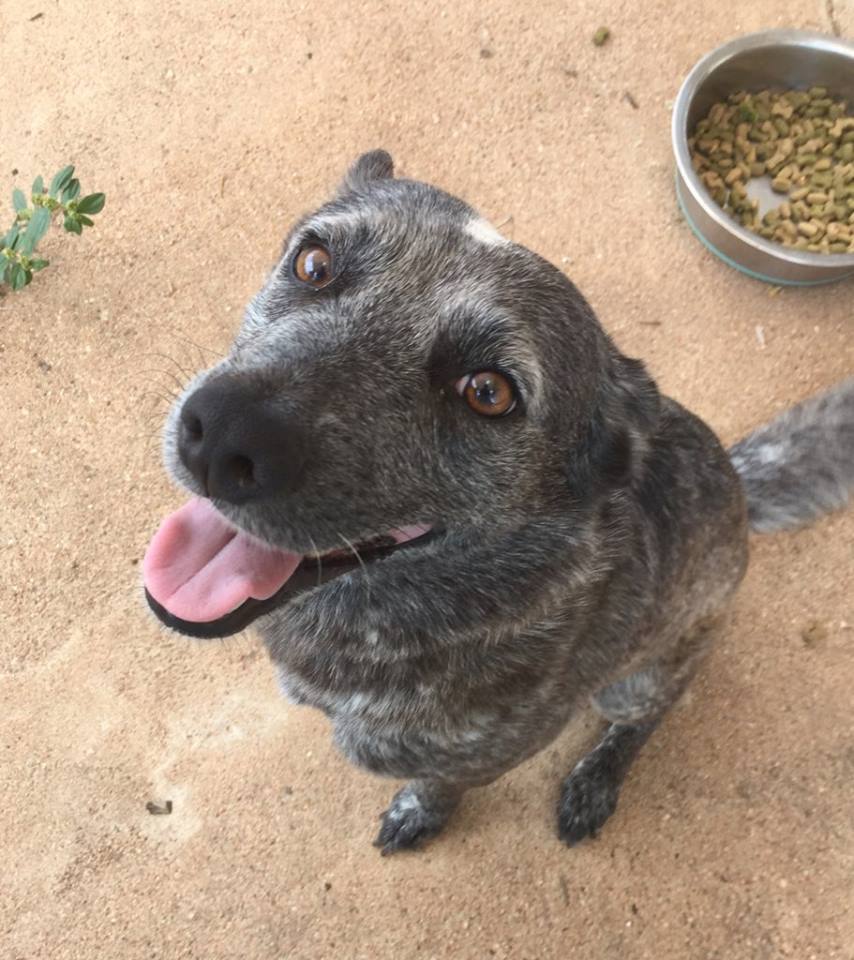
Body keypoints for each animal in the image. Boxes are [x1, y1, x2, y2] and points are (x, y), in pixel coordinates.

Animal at [143, 151, 854, 854]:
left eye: (488, 392)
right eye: (313, 264)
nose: (221, 434)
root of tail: (738, 481)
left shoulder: (481, 757)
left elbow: (440, 785)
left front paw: (420, 813)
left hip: (636, 683)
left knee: (650, 717)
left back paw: (596, 780)